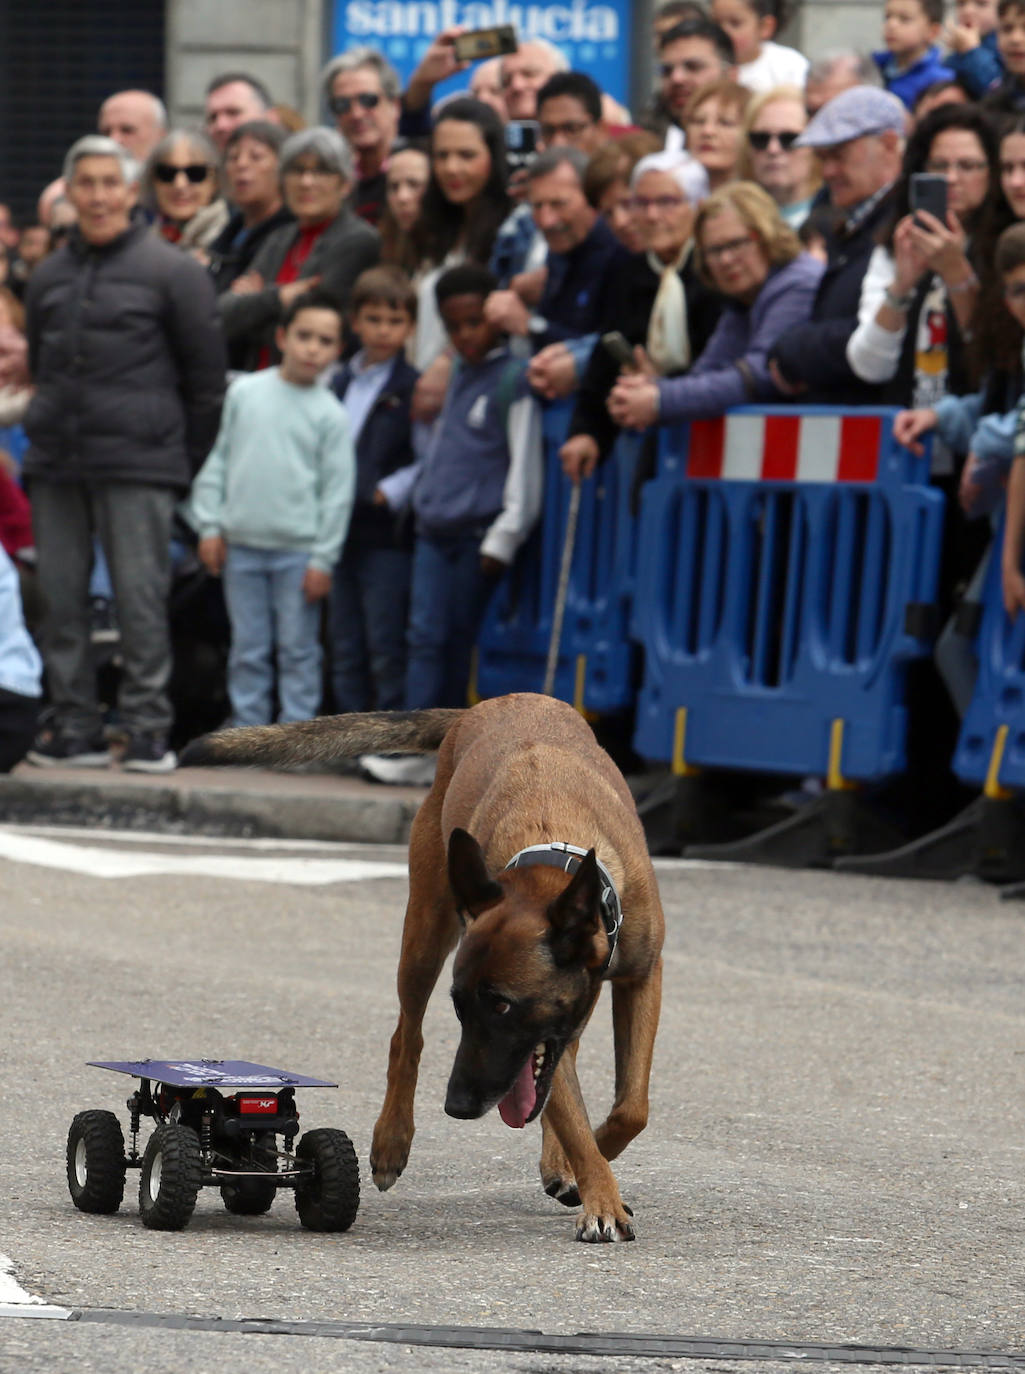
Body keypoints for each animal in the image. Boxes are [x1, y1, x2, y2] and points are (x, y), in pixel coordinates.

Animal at [182, 692, 662, 1242]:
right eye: (460, 1008)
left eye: (502, 1006)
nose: (457, 1105)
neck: (556, 852)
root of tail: (490, 703)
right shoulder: (541, 1030)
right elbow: (574, 1113)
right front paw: (598, 1188)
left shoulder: (637, 981)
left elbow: (630, 1109)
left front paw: (586, 1169)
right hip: (425, 936)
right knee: (406, 1036)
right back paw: (392, 1139)